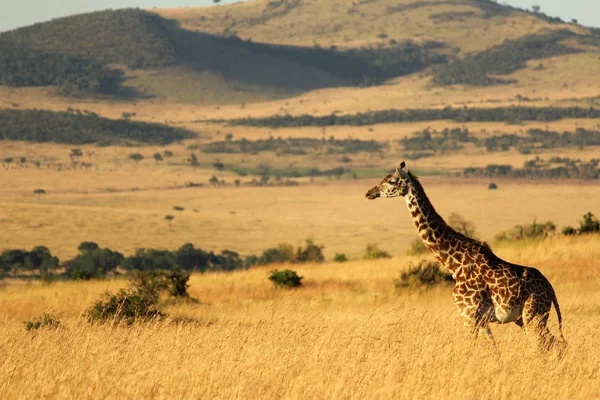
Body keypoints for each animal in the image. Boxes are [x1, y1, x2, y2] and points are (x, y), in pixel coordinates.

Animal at [366, 161, 568, 352]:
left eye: (392, 181)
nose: (369, 192)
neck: (453, 263)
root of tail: (551, 289)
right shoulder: (480, 319)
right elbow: (494, 350)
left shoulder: (469, 315)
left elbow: (472, 348)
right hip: (525, 318)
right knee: (554, 343)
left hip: (533, 315)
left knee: (546, 344)